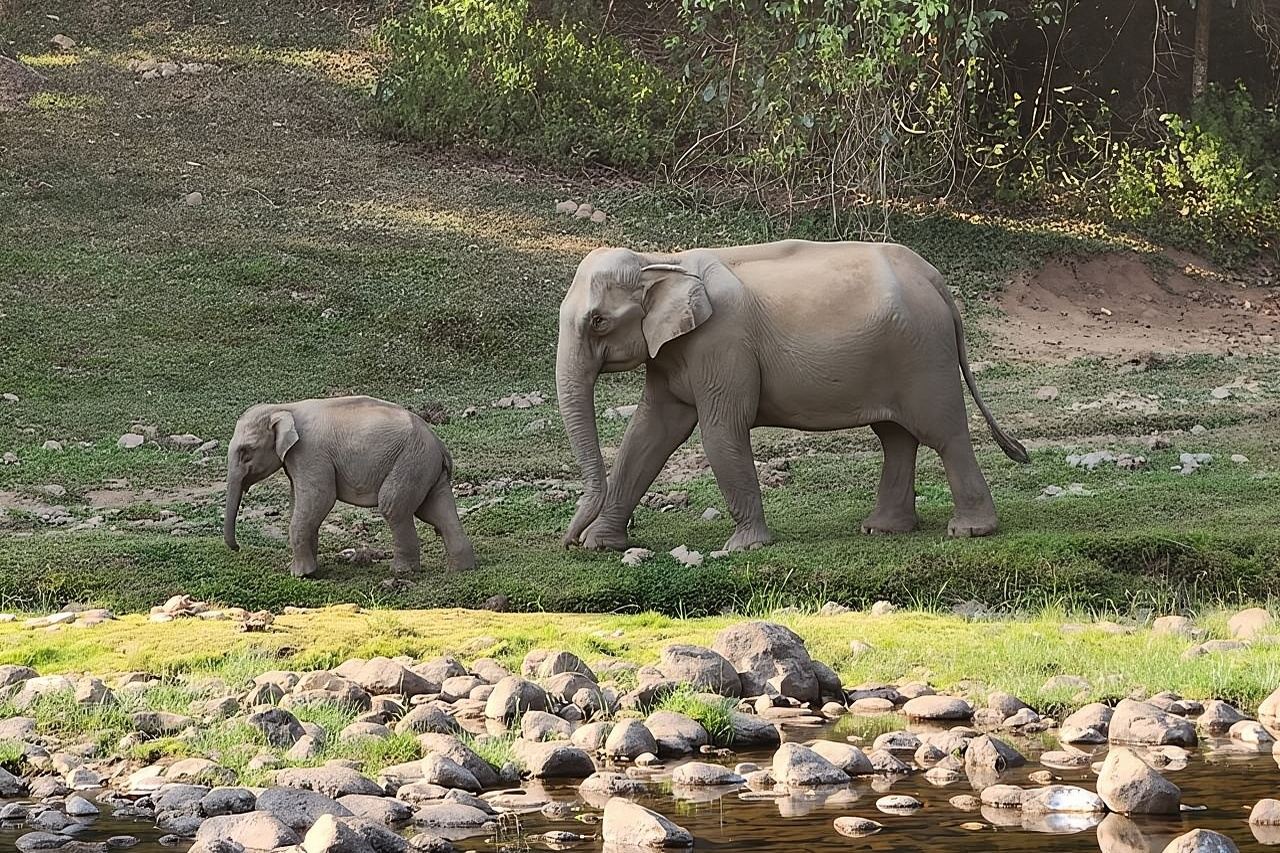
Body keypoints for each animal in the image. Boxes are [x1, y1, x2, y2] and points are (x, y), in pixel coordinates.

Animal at [223, 395, 476, 576]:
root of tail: (439, 444)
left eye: (245, 452)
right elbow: (300, 502)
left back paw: (402, 571)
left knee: (393, 507)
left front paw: (301, 575)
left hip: (411, 461)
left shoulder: (310, 453)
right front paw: (308, 569)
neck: (284, 407)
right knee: (437, 510)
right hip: (425, 467)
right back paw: (459, 569)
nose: (237, 548)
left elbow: (320, 498)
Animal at [556, 239, 1029, 553]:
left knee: (943, 433)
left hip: (923, 354)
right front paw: (601, 544)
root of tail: (934, 278)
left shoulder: (722, 346)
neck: (664, 261)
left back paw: (969, 531)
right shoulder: (672, 353)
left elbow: (721, 432)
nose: (567, 540)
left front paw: (743, 547)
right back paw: (882, 529)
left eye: (598, 321)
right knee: (895, 437)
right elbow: (648, 433)